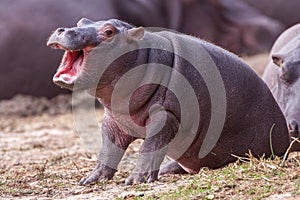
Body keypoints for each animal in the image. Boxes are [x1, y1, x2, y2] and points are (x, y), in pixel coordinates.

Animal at [47, 18, 290, 185]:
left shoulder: (166, 116)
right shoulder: (114, 120)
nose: (63, 29)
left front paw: (135, 180)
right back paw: (167, 169)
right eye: (82, 22)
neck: (142, 56)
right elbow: (108, 150)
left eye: (109, 32)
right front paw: (90, 179)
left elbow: (149, 147)